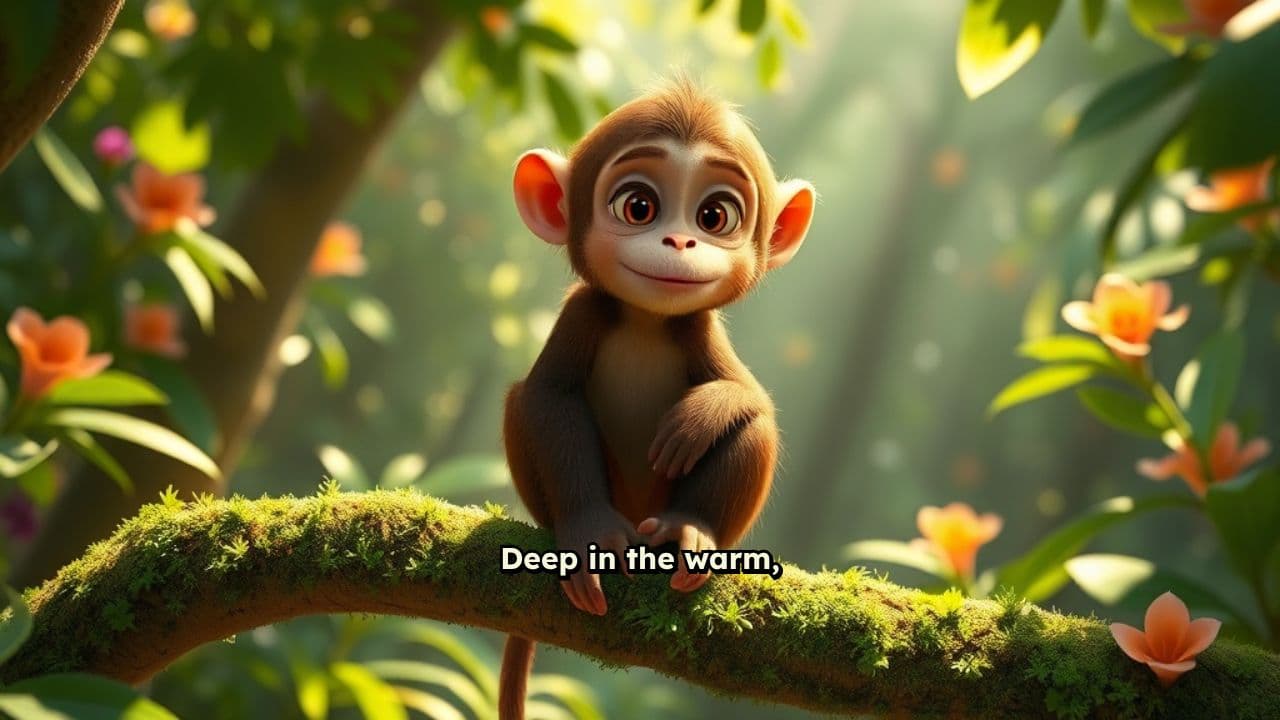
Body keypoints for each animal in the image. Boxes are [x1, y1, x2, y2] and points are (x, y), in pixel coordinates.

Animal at [499, 77, 815, 720]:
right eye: (637, 206)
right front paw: (589, 535)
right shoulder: (584, 310)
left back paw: (689, 531)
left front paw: (698, 419)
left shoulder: (698, 326)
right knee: (521, 402)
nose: (680, 238)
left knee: (755, 429)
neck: (646, 320)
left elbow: (751, 398)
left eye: (716, 215)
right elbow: (547, 395)